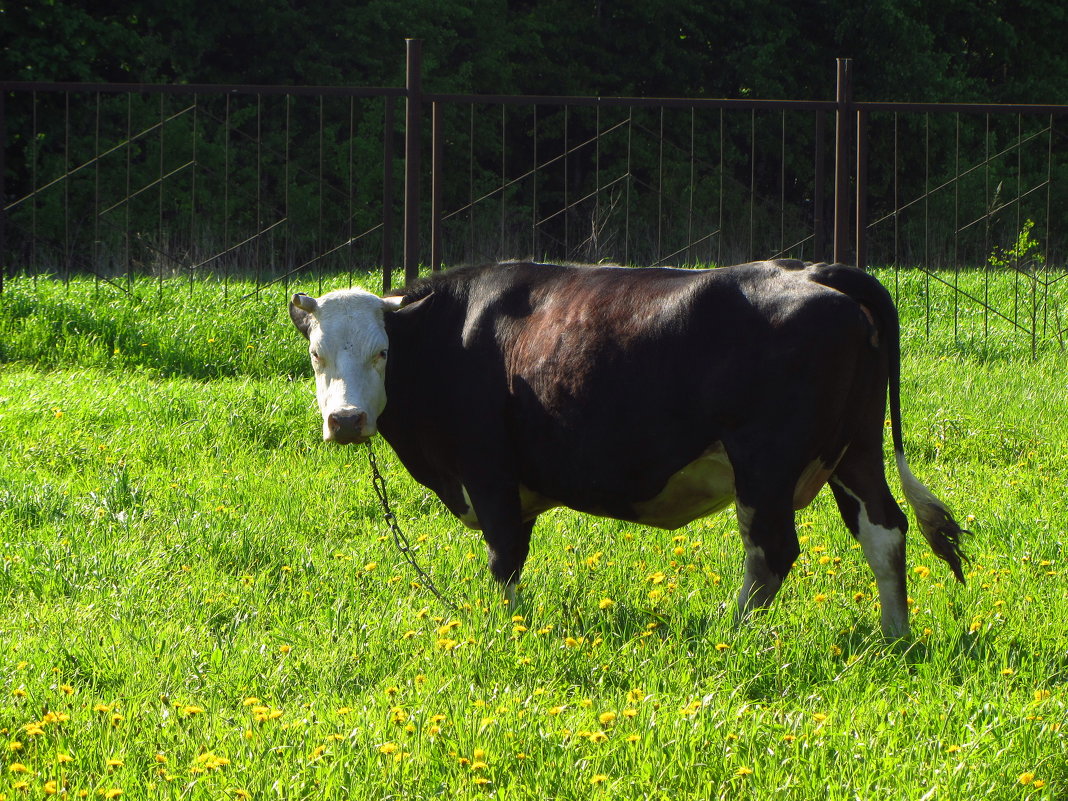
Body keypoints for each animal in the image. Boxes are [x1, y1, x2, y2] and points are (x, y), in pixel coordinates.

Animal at [286, 261, 969, 640]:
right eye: (317, 354)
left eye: (382, 352)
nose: (346, 420)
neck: (449, 332)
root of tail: (814, 270)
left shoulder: (489, 469)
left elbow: (505, 559)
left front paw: (508, 632)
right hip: (856, 449)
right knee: (884, 530)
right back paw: (896, 636)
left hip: (766, 462)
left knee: (771, 551)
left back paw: (730, 635)